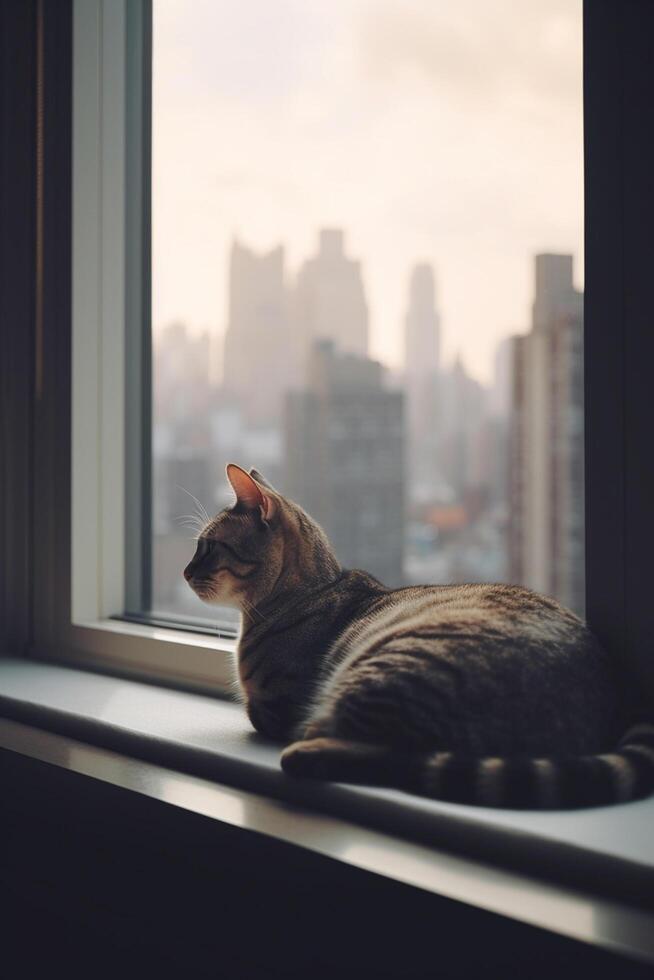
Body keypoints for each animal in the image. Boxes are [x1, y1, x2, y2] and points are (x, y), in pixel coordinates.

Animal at [183, 468, 654, 812]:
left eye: (207, 547)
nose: (185, 573)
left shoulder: (273, 704)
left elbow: (257, 711)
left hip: (394, 665)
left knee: (392, 752)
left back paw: (306, 749)